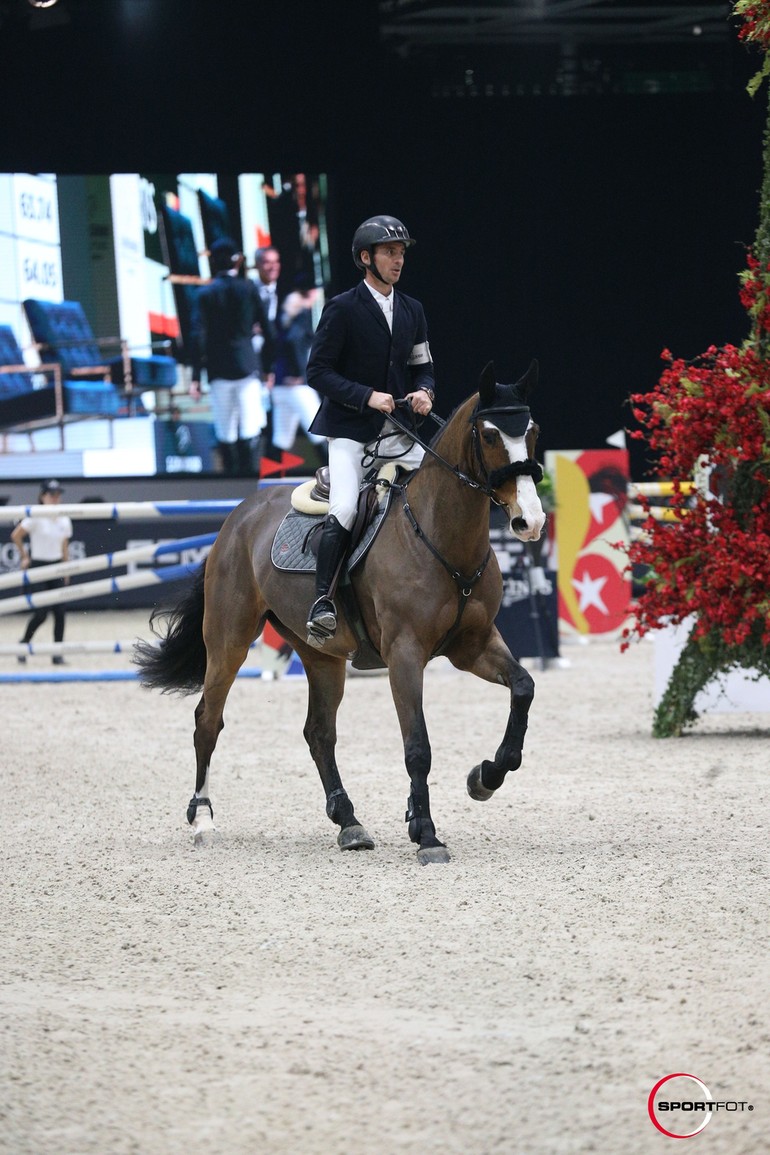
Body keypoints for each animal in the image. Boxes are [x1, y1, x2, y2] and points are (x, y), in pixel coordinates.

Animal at [138, 358, 547, 859]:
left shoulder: (473, 645)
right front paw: (426, 833)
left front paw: (484, 777)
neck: (440, 535)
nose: (531, 521)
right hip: (229, 640)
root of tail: (239, 514)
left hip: (321, 655)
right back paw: (203, 818)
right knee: (207, 721)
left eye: (532, 431)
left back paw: (349, 822)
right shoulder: (405, 654)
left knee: (319, 732)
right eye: (490, 436)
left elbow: (523, 688)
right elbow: (418, 746)